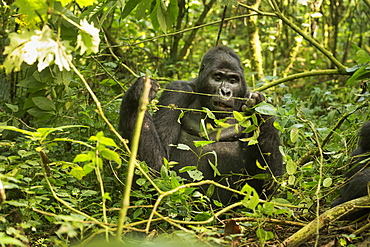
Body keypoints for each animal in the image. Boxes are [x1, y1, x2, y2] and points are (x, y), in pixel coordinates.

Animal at [118, 46, 284, 205]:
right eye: (217, 78)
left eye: (233, 80)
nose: (225, 91)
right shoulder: (177, 91)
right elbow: (160, 168)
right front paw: (136, 96)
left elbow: (267, 187)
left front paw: (261, 110)